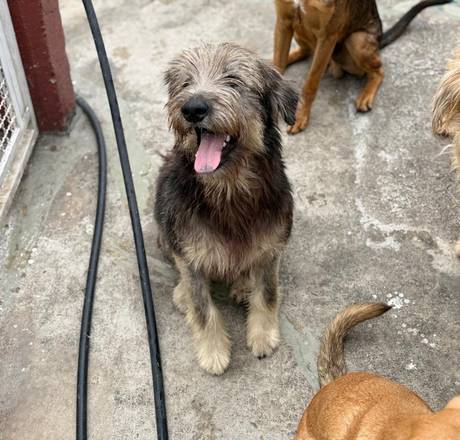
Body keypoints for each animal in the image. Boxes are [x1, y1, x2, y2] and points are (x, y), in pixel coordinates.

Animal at [154, 43, 298, 375]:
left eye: (233, 80)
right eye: (185, 83)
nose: (192, 108)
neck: (228, 192)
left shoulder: (271, 249)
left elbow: (267, 294)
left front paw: (263, 335)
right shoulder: (190, 257)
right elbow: (203, 308)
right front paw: (213, 351)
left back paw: (244, 284)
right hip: (163, 231)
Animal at [273, 0, 453, 134]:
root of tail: (379, 39)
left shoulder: (327, 36)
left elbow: (310, 83)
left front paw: (300, 115)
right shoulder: (283, 21)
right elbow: (278, 64)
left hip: (356, 40)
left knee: (378, 71)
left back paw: (365, 96)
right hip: (299, 31)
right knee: (304, 51)